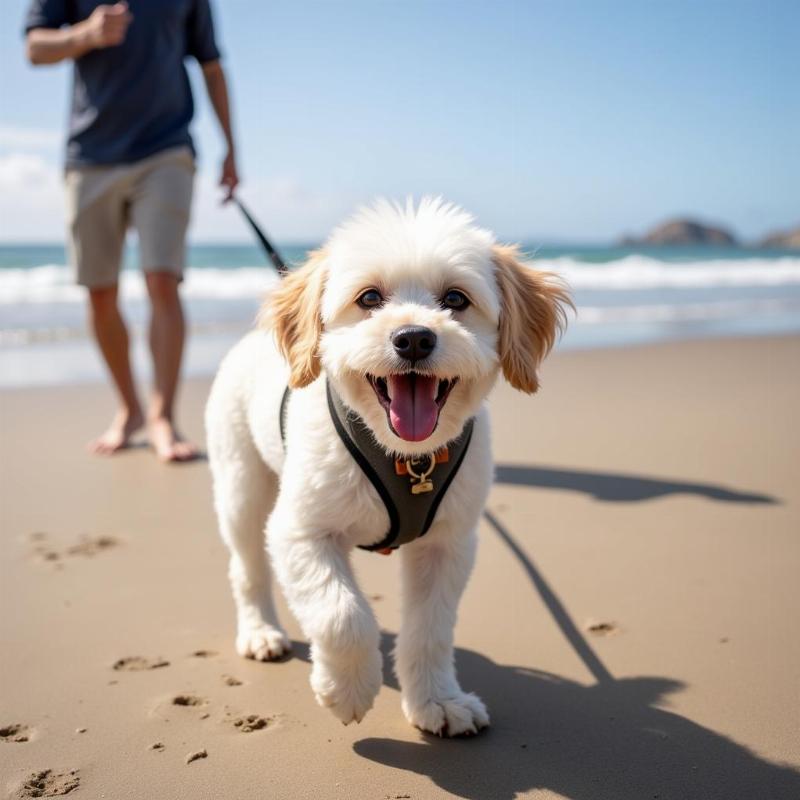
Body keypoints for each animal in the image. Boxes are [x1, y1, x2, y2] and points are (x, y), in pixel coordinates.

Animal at [206, 197, 568, 736]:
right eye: (370, 297)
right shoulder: (301, 532)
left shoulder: (448, 544)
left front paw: (438, 700)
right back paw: (260, 631)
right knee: (246, 567)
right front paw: (347, 690)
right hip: (241, 486)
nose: (413, 338)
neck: (405, 457)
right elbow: (343, 615)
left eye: (455, 298)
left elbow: (430, 630)